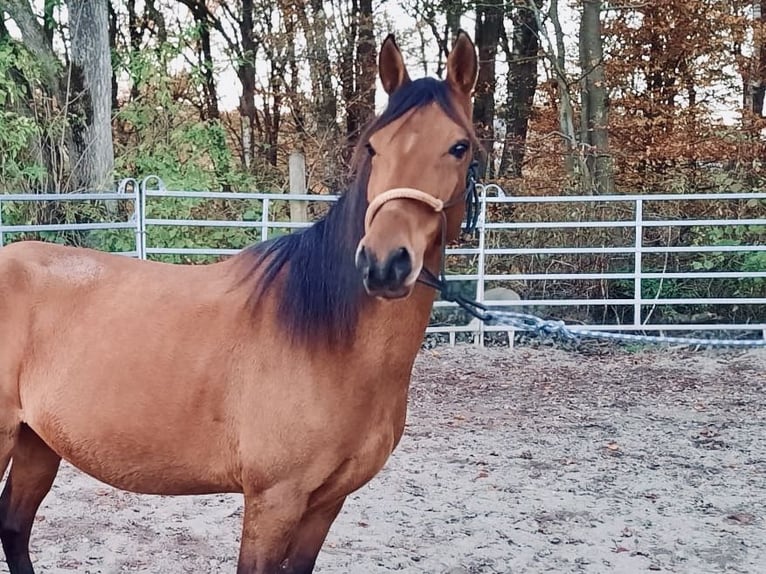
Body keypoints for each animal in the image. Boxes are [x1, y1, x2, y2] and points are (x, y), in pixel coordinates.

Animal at [0, 30, 480, 574]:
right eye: (374, 147)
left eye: (459, 146)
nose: (384, 263)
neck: (333, 344)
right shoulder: (274, 498)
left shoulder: (326, 503)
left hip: (37, 441)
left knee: (14, 526)